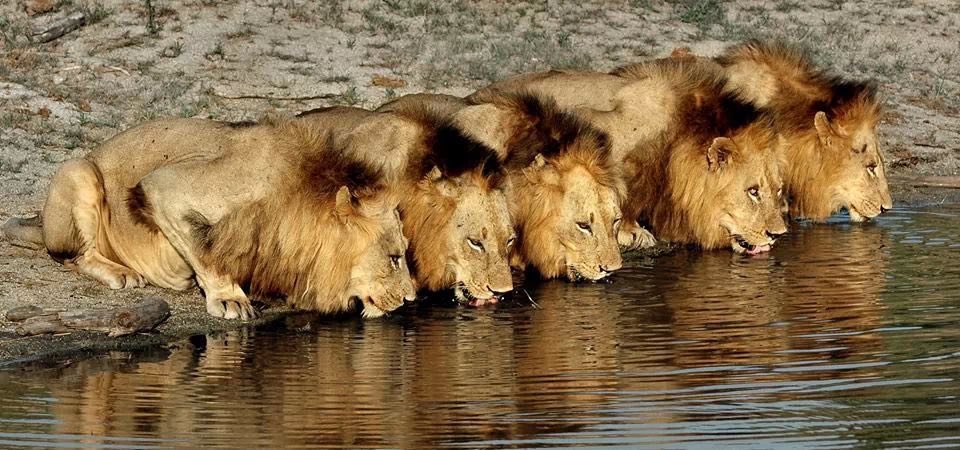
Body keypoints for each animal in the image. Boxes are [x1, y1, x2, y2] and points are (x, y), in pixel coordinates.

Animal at [4, 117, 416, 319]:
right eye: (394, 257)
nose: (412, 300)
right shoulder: (164, 187)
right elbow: (205, 250)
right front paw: (230, 299)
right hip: (79, 171)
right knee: (74, 256)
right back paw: (121, 272)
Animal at [473, 60, 787, 253]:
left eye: (778, 189)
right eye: (753, 191)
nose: (779, 235)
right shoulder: (603, 125)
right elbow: (621, 191)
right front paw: (632, 233)